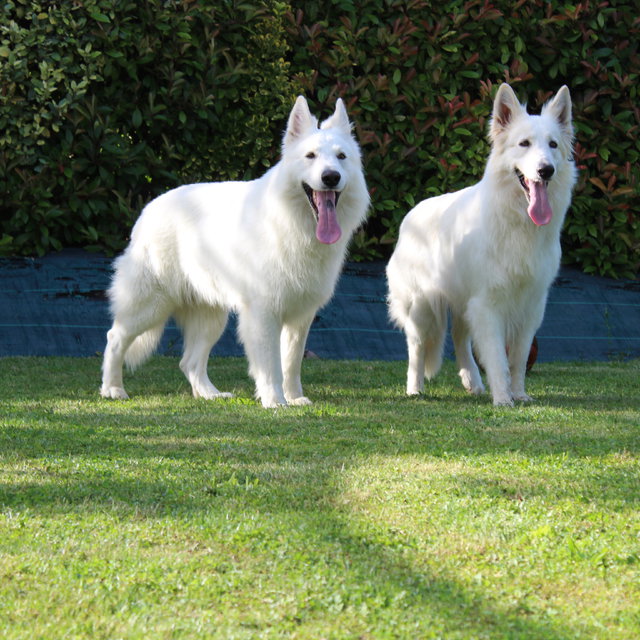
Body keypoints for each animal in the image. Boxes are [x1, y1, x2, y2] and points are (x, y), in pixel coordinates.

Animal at [101, 96, 370, 404]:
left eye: (341, 157)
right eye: (311, 156)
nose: (330, 177)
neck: (292, 223)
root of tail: (149, 209)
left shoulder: (300, 317)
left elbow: (291, 363)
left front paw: (294, 398)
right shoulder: (264, 313)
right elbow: (270, 365)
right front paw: (275, 401)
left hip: (211, 318)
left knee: (189, 362)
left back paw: (209, 394)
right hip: (149, 306)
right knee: (115, 338)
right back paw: (113, 389)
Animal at [388, 85, 576, 404]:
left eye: (552, 145)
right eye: (524, 144)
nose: (546, 170)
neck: (518, 222)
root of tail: (410, 216)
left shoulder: (529, 307)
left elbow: (518, 359)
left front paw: (519, 394)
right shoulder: (488, 305)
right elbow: (497, 358)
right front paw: (503, 399)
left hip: (464, 304)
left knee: (460, 340)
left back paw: (473, 383)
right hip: (422, 309)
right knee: (417, 348)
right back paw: (414, 389)